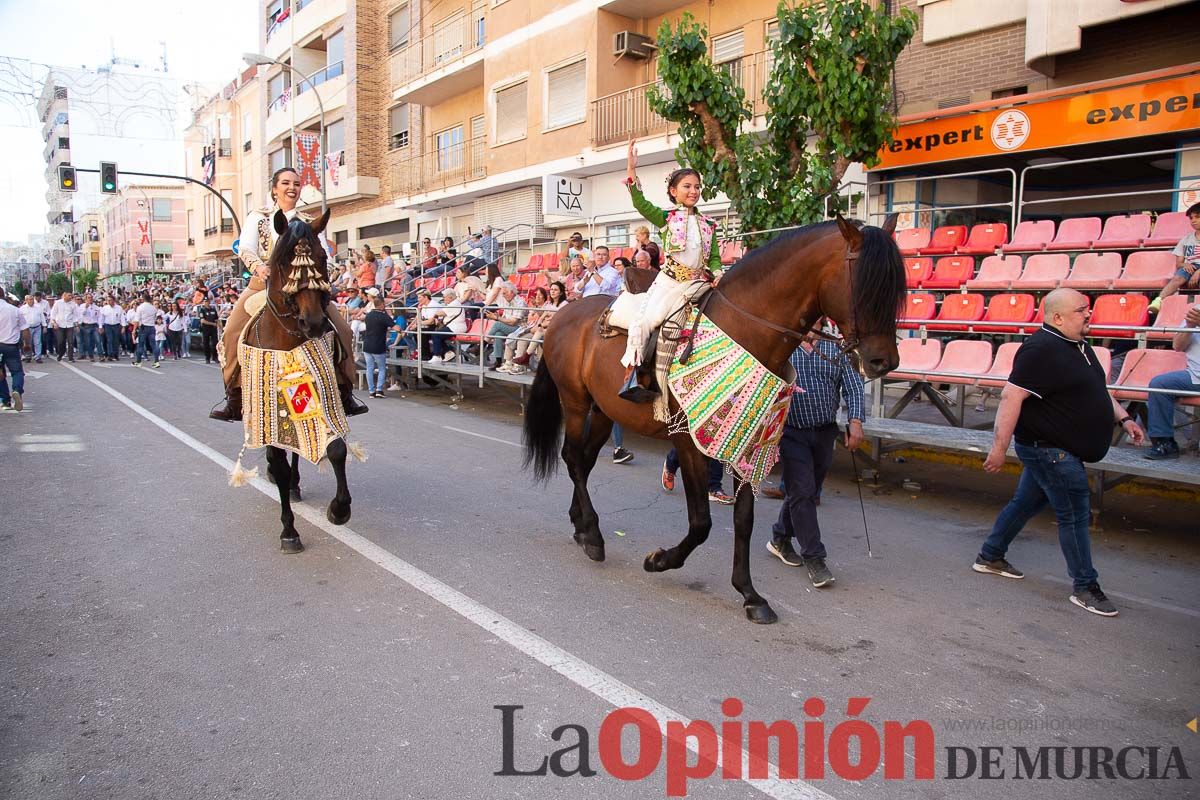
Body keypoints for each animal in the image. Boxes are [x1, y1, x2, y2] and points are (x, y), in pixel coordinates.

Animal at [250, 209, 350, 554]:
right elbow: (278, 462)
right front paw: (289, 531)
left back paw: (294, 485)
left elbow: (336, 450)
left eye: (322, 257)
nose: (314, 322)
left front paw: (339, 509)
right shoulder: (268, 409)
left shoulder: (323, 400)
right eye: (283, 262)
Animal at [523, 215, 902, 623]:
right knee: (573, 459)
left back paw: (581, 526)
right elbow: (701, 522)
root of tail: (565, 312)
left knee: (585, 460)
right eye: (864, 283)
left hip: (605, 410)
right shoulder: (689, 441)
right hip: (576, 403)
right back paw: (592, 535)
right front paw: (660, 560)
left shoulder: (747, 443)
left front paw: (750, 594)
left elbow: (743, 519)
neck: (745, 330)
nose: (884, 361)